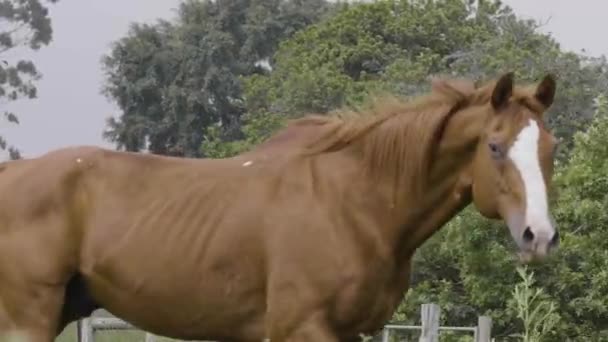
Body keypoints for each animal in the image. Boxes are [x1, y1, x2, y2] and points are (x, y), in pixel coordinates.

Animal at [0, 71, 560, 340]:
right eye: (494, 147)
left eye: (551, 148)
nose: (539, 236)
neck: (353, 203)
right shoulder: (302, 330)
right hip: (27, 320)